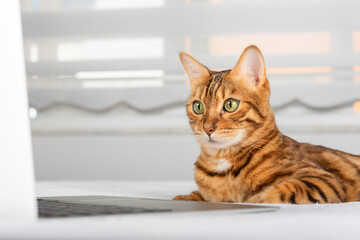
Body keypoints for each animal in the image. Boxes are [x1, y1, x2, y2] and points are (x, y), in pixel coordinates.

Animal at [173, 45, 358, 204]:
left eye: (230, 104)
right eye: (198, 107)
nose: (207, 128)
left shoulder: (324, 180)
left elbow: (280, 191)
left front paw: (252, 199)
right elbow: (198, 196)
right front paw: (187, 197)